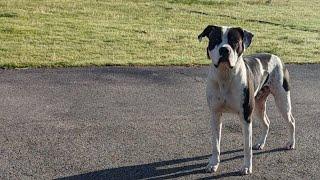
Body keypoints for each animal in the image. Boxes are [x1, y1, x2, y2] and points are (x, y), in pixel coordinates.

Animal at [199, 25, 296, 174]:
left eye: (234, 41)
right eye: (215, 39)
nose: (224, 49)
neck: (225, 75)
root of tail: (276, 56)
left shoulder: (245, 116)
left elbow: (247, 146)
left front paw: (246, 167)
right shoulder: (215, 114)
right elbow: (215, 144)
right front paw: (213, 163)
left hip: (282, 101)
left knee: (291, 121)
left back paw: (291, 143)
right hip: (258, 105)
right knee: (266, 122)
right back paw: (261, 143)